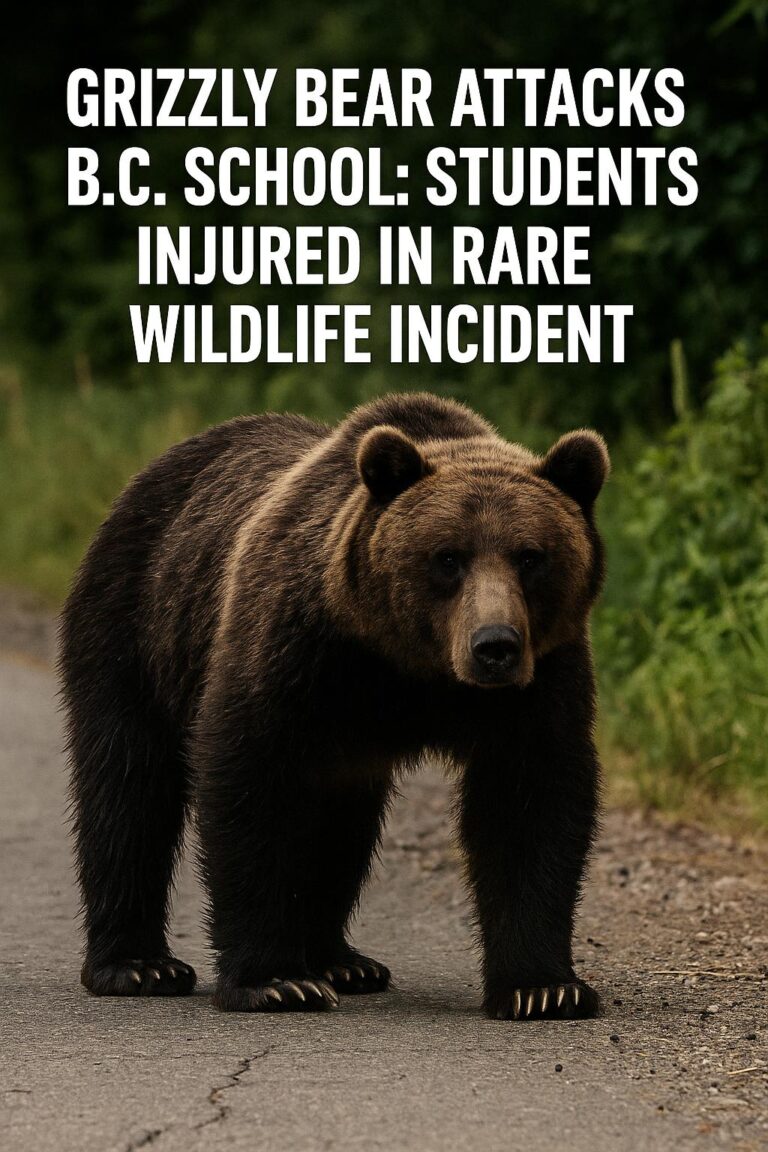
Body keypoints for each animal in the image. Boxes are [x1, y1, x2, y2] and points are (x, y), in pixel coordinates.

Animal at [60, 391, 609, 1019]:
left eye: (530, 557)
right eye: (448, 557)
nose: (495, 646)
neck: (407, 664)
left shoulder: (541, 679)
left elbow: (531, 801)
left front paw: (542, 988)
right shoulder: (295, 646)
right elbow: (250, 782)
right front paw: (275, 981)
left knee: (342, 827)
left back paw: (342, 962)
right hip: (136, 621)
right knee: (127, 785)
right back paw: (139, 965)